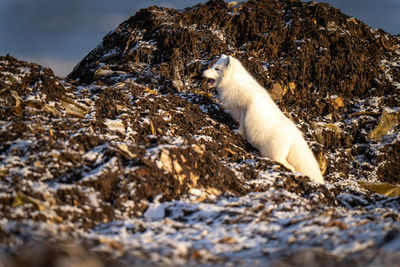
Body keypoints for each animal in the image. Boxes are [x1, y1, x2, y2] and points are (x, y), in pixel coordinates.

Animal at [203, 54, 324, 184]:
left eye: (217, 69)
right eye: (213, 66)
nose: (203, 72)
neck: (233, 82)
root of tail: (295, 134)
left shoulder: (244, 108)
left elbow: (243, 124)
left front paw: (238, 132)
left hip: (273, 154)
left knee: (289, 166)